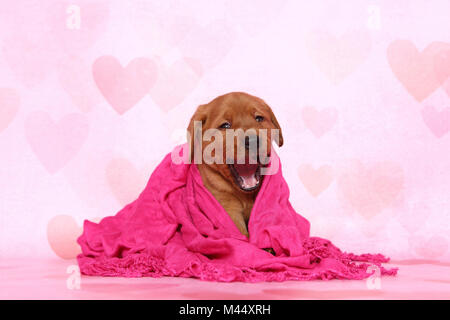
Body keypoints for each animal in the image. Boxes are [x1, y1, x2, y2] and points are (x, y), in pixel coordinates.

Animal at [188, 92, 284, 248]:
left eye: (259, 118)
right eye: (225, 125)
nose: (253, 140)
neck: (246, 195)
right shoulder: (227, 208)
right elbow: (241, 236)